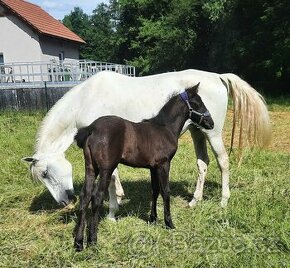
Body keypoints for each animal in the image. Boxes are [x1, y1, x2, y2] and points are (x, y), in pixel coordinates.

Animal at [23, 68, 272, 218]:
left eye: (45, 173)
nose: (65, 201)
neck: (87, 99)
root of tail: (217, 76)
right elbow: (114, 175)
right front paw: (119, 197)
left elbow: (111, 177)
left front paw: (113, 207)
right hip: (197, 131)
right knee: (203, 163)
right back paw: (194, 201)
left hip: (213, 132)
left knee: (223, 162)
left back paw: (223, 201)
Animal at [72, 82, 213, 250]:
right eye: (198, 103)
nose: (211, 123)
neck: (165, 128)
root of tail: (91, 128)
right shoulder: (164, 164)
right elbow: (165, 191)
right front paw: (169, 223)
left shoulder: (153, 167)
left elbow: (155, 190)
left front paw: (152, 219)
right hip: (106, 169)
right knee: (97, 197)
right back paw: (93, 240)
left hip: (91, 168)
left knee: (84, 197)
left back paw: (79, 242)